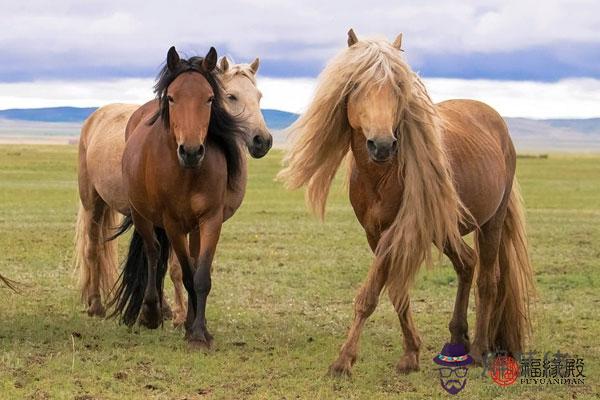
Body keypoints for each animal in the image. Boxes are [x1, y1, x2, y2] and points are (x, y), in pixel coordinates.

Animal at [75, 57, 272, 324]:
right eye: (232, 96)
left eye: (259, 96)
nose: (263, 140)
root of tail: (96, 116)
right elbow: (178, 268)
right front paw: (181, 315)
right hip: (93, 203)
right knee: (92, 249)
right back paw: (95, 303)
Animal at [109, 44, 247, 346]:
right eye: (172, 98)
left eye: (210, 98)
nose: (191, 151)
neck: (189, 174)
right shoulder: (172, 223)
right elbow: (185, 273)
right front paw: (191, 330)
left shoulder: (210, 220)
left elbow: (200, 275)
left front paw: (199, 330)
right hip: (142, 215)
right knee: (152, 251)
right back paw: (151, 312)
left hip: (192, 226)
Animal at [278, 29, 536, 376]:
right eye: (355, 86)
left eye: (398, 88)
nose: (382, 144)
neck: (380, 176)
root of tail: (496, 122)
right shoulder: (375, 234)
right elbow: (397, 292)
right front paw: (411, 354)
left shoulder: (396, 233)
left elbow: (371, 294)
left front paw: (344, 359)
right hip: (444, 229)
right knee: (467, 263)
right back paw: (458, 338)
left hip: (490, 223)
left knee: (488, 281)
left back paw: (480, 349)